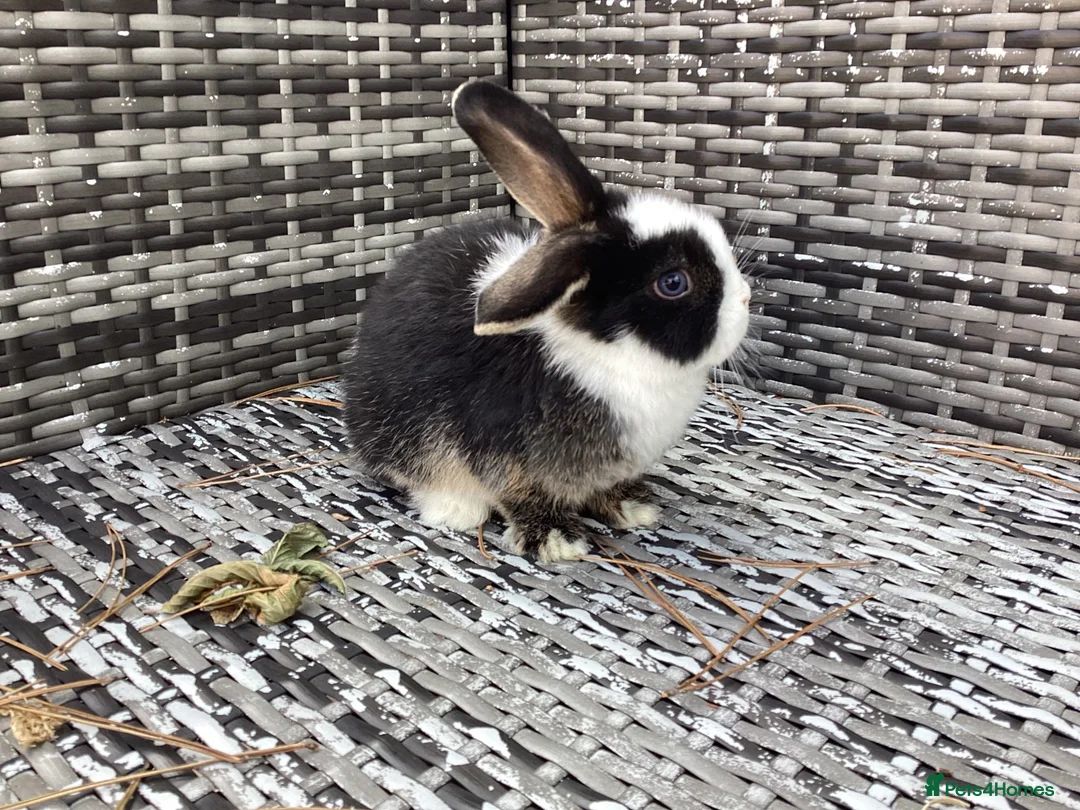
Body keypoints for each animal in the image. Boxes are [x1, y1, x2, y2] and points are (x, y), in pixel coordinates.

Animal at [343, 79, 751, 562]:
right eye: (674, 282)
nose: (746, 298)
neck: (607, 353)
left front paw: (632, 506)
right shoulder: (497, 446)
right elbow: (520, 492)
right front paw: (556, 540)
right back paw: (455, 509)